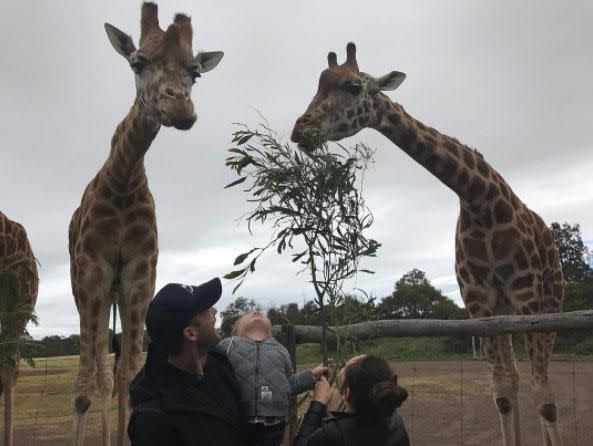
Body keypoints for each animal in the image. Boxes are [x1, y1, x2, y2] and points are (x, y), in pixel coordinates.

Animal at [67, 4, 224, 446]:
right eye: (137, 62)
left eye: (195, 72)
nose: (182, 111)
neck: (123, 180)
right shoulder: (93, 271)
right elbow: (84, 388)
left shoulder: (140, 272)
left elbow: (129, 375)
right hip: (87, 289)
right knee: (94, 373)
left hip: (118, 292)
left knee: (111, 373)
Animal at [292, 42, 564, 446]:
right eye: (318, 84)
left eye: (353, 86)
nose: (300, 129)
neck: (480, 201)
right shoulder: (480, 305)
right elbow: (502, 391)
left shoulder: (528, 298)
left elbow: (544, 397)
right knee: (514, 378)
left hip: (550, 304)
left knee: (541, 382)